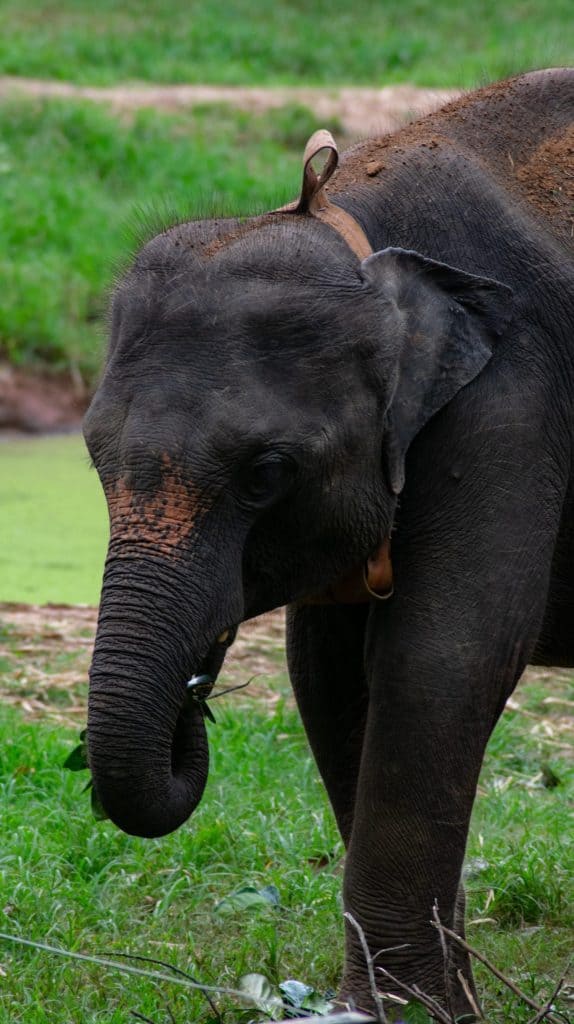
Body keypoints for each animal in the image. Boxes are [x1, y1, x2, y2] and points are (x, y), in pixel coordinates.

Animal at [83, 68, 574, 1020]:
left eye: (266, 473)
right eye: (92, 455)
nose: (194, 697)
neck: (353, 225)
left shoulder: (511, 399)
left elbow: (442, 659)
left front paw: (398, 1011)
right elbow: (330, 673)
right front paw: (439, 1006)